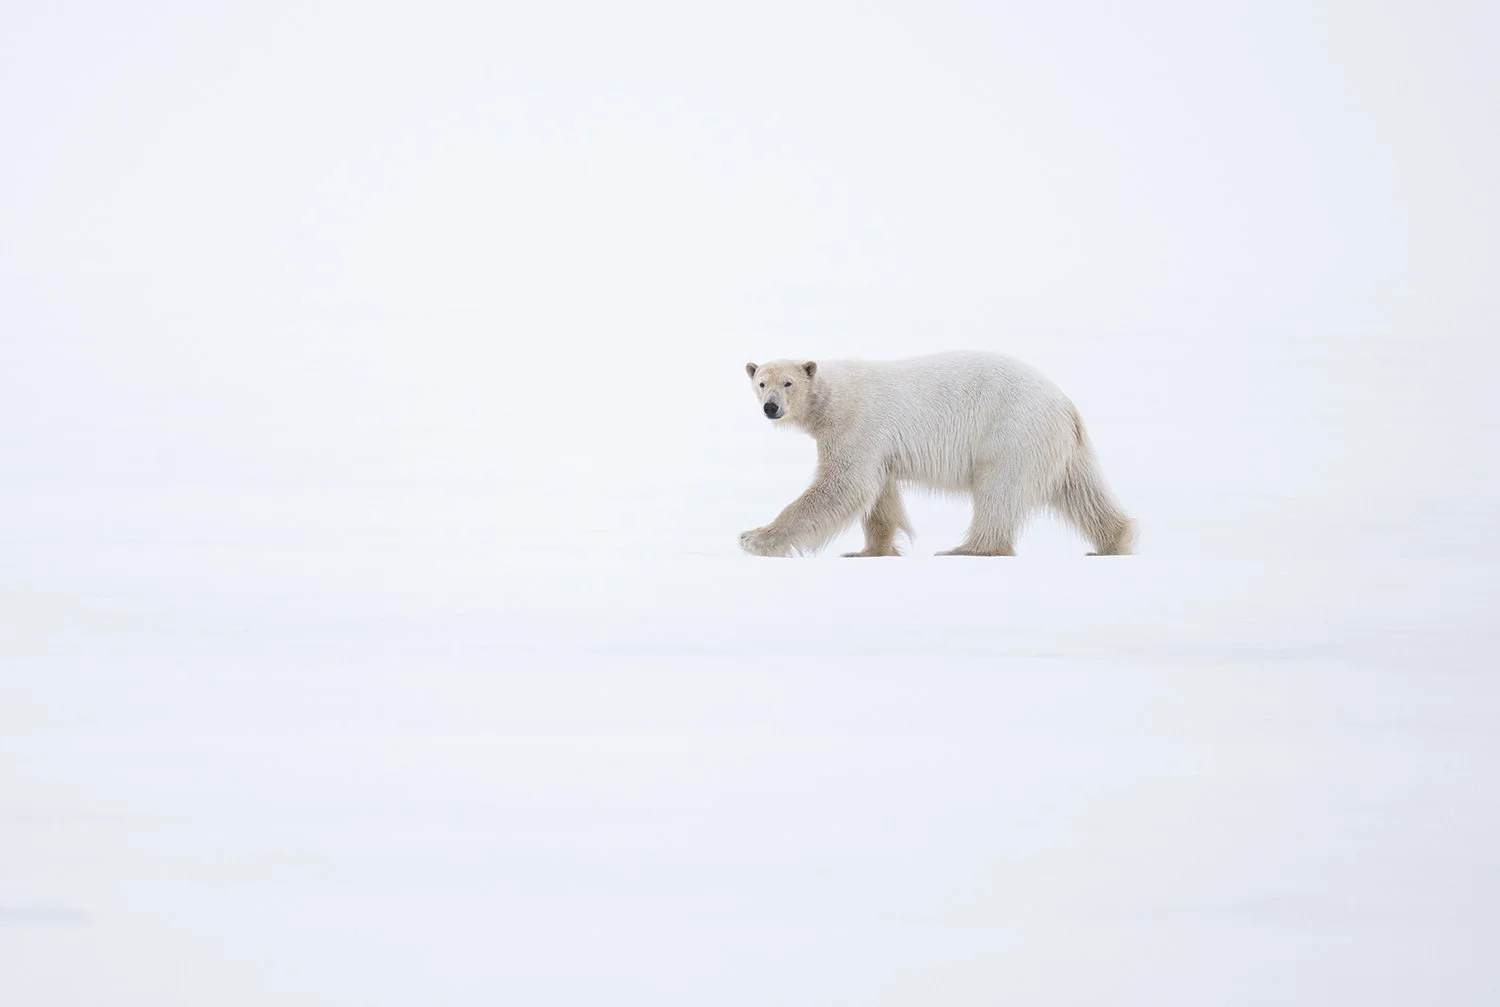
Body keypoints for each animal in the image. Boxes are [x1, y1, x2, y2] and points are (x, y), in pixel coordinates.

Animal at [740, 351, 1134, 557]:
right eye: (761, 383)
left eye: (788, 383)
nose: (771, 407)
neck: (834, 398)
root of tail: (1065, 404)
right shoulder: (879, 446)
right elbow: (879, 497)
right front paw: (870, 551)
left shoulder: (858, 426)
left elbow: (842, 486)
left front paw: (754, 539)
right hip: (1058, 445)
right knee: (1081, 490)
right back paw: (1113, 541)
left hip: (1011, 432)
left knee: (999, 490)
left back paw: (967, 549)